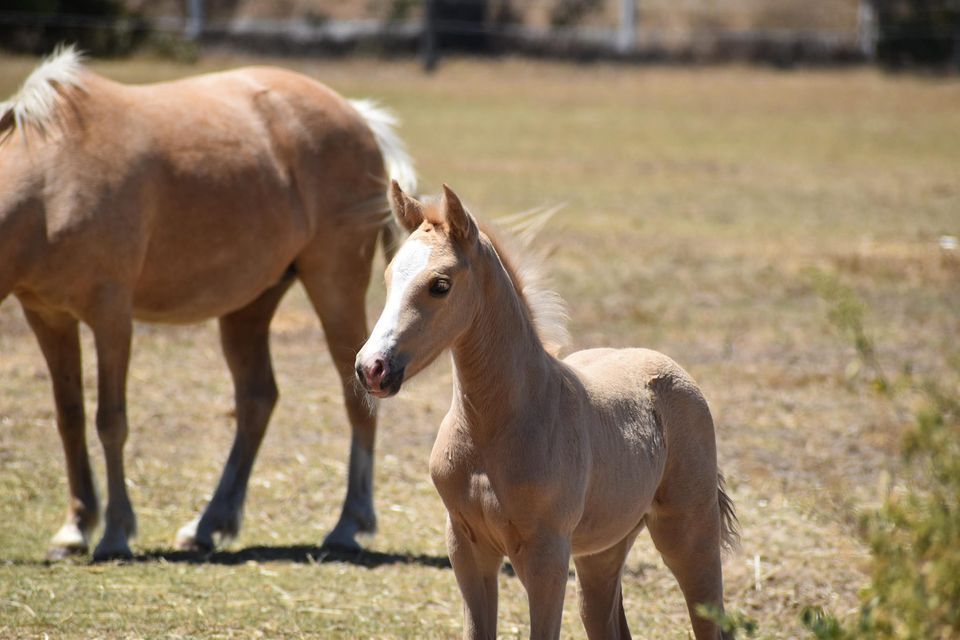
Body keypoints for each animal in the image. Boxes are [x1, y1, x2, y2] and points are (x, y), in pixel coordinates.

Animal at [0, 47, 417, 560]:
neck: (50, 177)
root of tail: (358, 116)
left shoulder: (110, 317)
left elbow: (110, 421)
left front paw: (115, 532)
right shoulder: (47, 315)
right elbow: (70, 417)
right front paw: (75, 528)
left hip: (334, 285)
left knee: (353, 396)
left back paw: (346, 526)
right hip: (250, 304)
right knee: (257, 400)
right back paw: (208, 523)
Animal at [355, 182, 739, 639]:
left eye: (440, 284)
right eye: (388, 277)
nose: (371, 368)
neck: (497, 426)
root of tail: (675, 373)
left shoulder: (546, 557)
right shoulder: (466, 546)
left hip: (689, 533)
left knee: (708, 615)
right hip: (603, 548)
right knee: (604, 617)